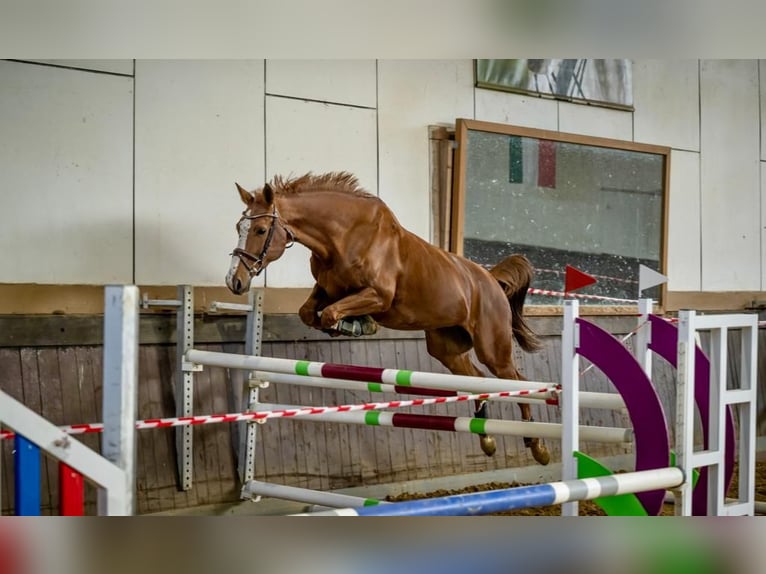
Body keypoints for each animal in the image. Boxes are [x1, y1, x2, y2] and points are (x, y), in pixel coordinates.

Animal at [225, 173, 548, 466]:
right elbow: (311, 313)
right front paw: (350, 325)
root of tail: (492, 281)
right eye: (239, 227)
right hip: (447, 348)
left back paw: (536, 444)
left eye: (260, 229)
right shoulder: (327, 289)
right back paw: (487, 438)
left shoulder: (379, 295)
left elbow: (330, 313)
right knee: (477, 380)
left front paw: (355, 324)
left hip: (493, 348)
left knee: (519, 382)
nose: (234, 282)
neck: (343, 237)